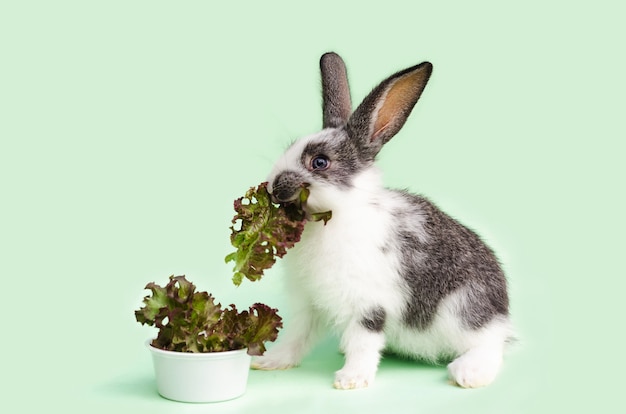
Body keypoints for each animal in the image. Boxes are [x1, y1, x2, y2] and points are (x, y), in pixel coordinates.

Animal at [251, 51, 510, 388]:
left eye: (319, 162)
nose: (274, 188)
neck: (337, 217)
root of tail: (502, 313)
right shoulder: (310, 303)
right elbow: (297, 337)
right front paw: (269, 361)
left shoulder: (369, 305)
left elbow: (364, 341)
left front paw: (350, 380)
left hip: (464, 310)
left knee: (489, 346)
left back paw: (469, 374)